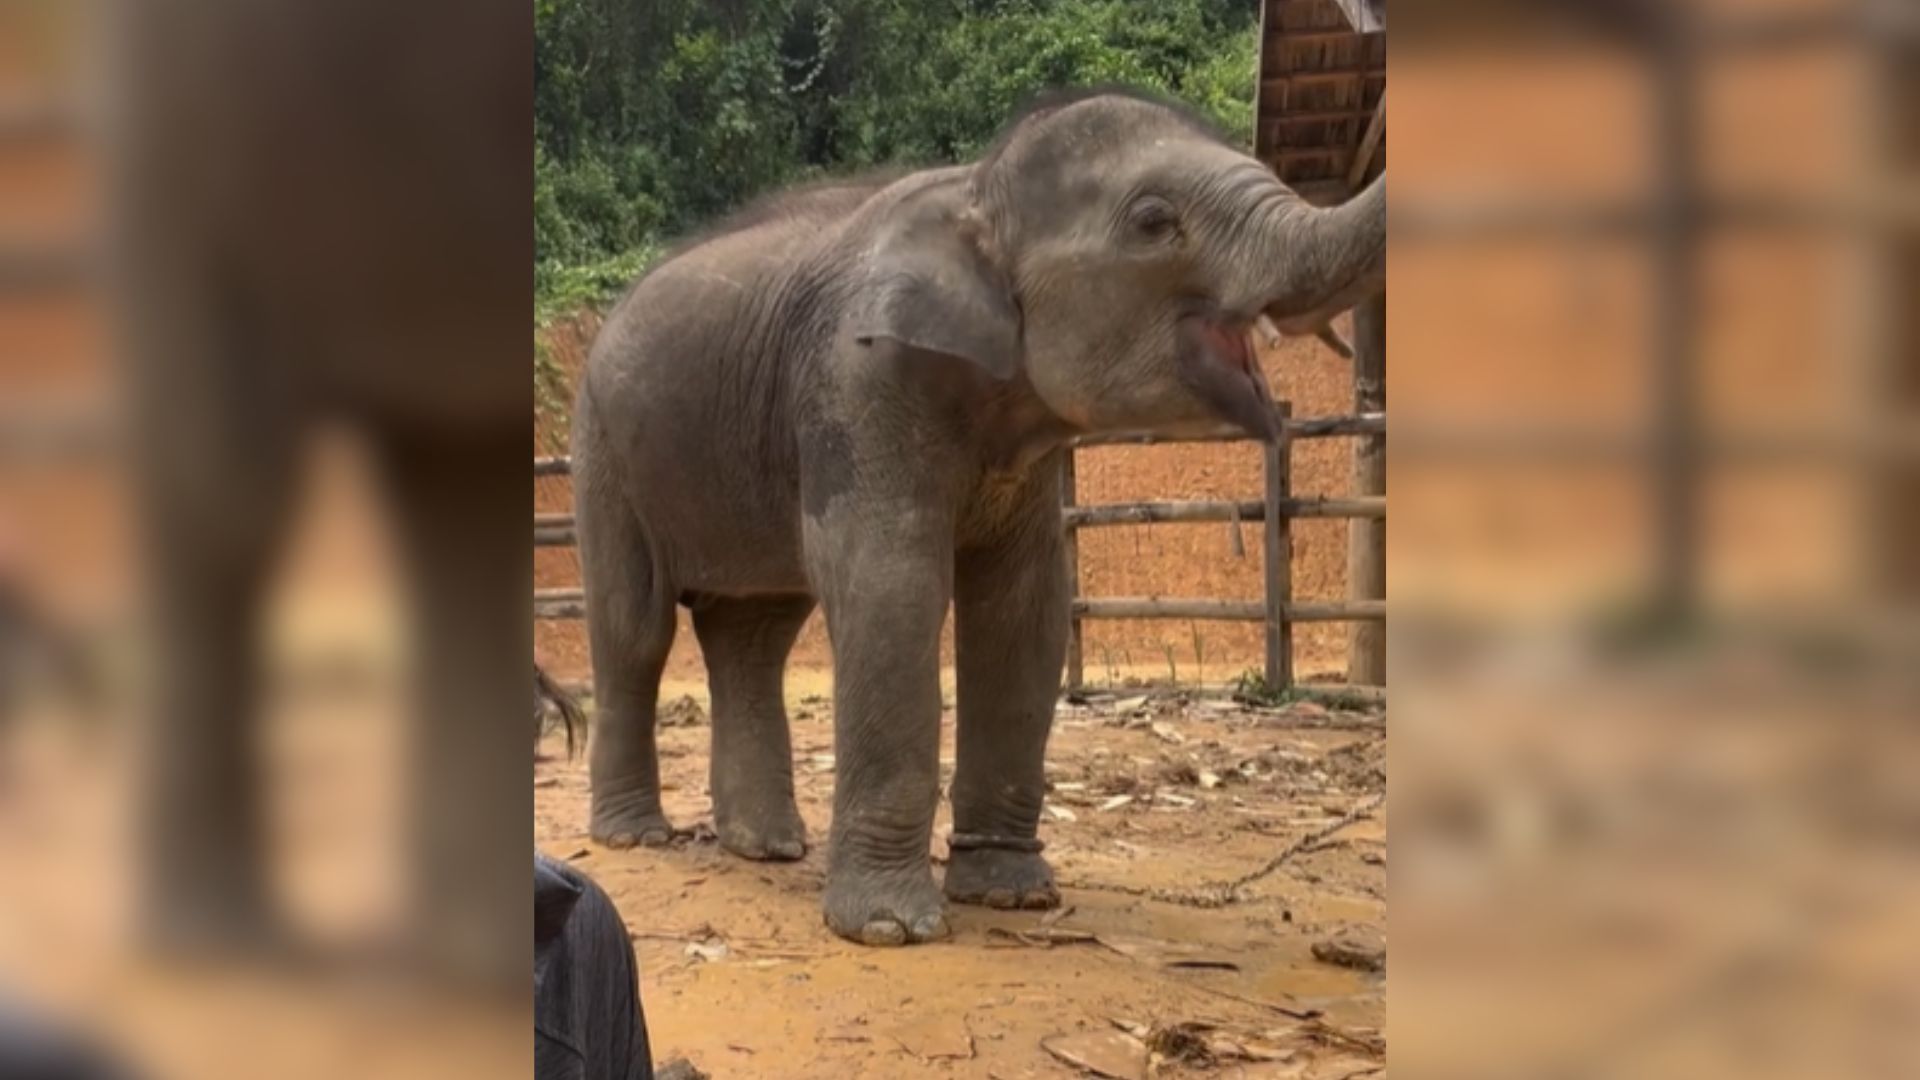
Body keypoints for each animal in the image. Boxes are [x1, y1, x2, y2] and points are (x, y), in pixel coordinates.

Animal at [568, 90, 1382, 941]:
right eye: (1154, 221)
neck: (976, 191)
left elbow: (1024, 609)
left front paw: (1010, 895)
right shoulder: (856, 384)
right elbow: (892, 589)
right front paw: (891, 930)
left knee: (754, 635)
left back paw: (769, 848)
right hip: (601, 449)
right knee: (634, 627)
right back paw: (637, 837)